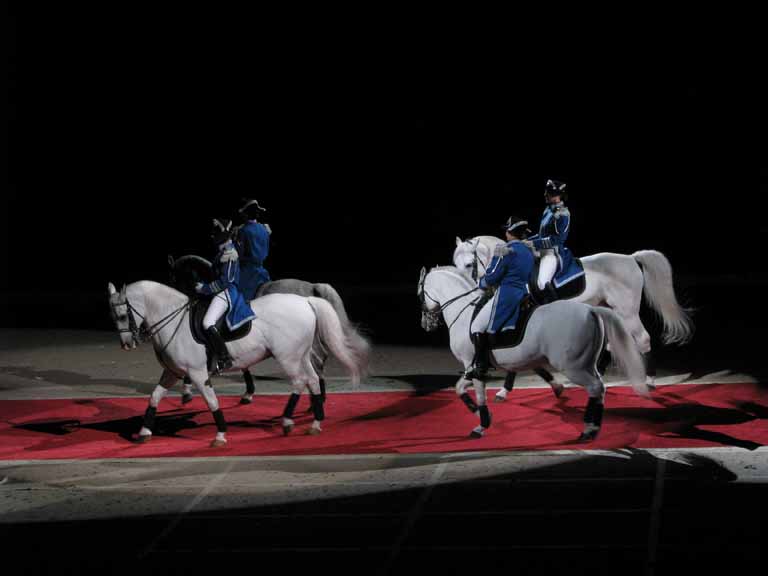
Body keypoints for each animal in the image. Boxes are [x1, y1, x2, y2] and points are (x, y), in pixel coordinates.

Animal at [109, 280, 372, 446]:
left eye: (122, 315)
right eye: (113, 315)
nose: (127, 344)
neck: (174, 319)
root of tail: (306, 300)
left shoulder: (197, 373)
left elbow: (212, 401)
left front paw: (220, 435)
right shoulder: (171, 372)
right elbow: (154, 397)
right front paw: (144, 432)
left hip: (287, 356)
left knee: (300, 381)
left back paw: (288, 421)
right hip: (301, 354)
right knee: (314, 380)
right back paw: (315, 423)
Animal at [420, 266, 648, 440]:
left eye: (420, 292)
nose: (426, 324)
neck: (465, 312)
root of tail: (591, 310)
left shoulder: (472, 363)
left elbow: (474, 392)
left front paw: (482, 423)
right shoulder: (482, 366)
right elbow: (461, 388)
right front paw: (480, 413)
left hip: (573, 367)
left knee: (595, 387)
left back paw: (589, 430)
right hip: (586, 363)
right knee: (599, 388)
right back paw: (592, 427)